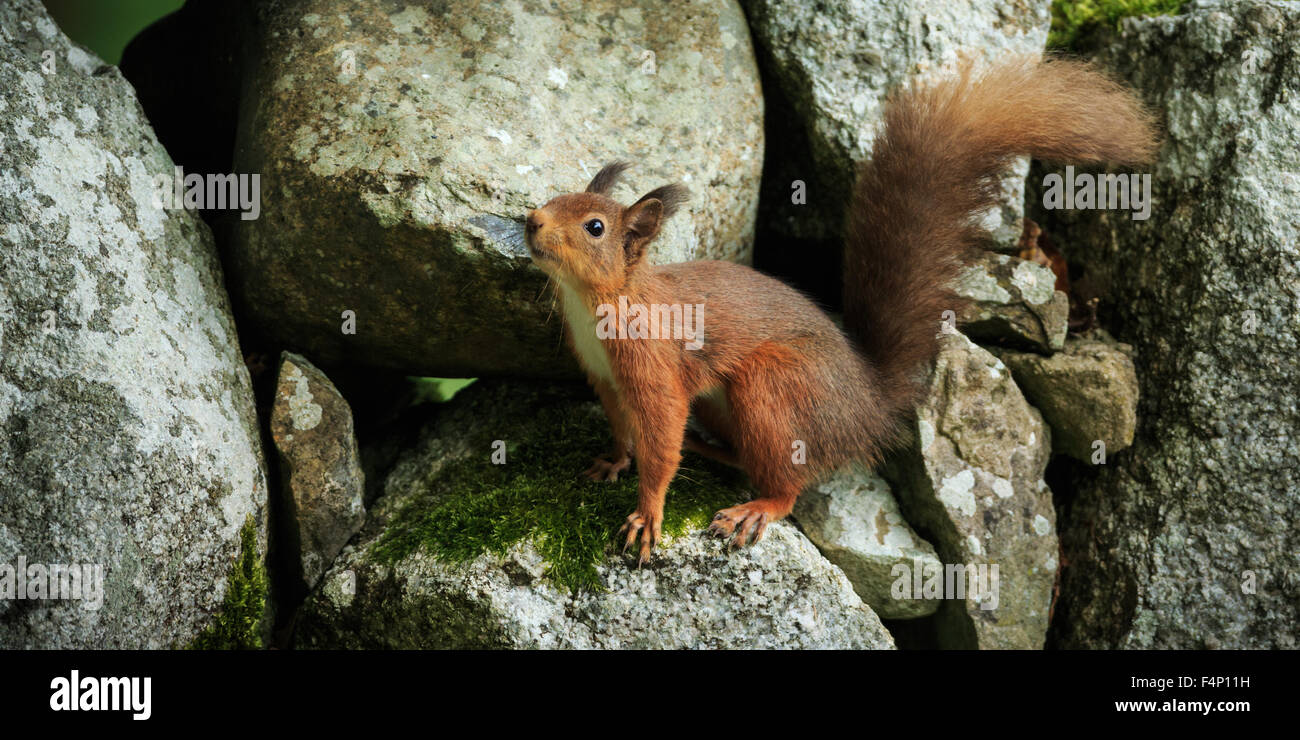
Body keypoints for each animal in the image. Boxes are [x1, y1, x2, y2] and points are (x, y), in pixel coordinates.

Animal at [522, 57, 1154, 561]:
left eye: (595, 227)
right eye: (557, 196)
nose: (531, 220)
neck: (599, 302)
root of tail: (868, 406)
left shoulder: (655, 370)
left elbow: (658, 439)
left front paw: (646, 514)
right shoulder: (604, 377)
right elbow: (623, 428)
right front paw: (612, 460)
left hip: (773, 387)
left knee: (788, 481)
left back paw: (757, 506)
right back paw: (710, 451)